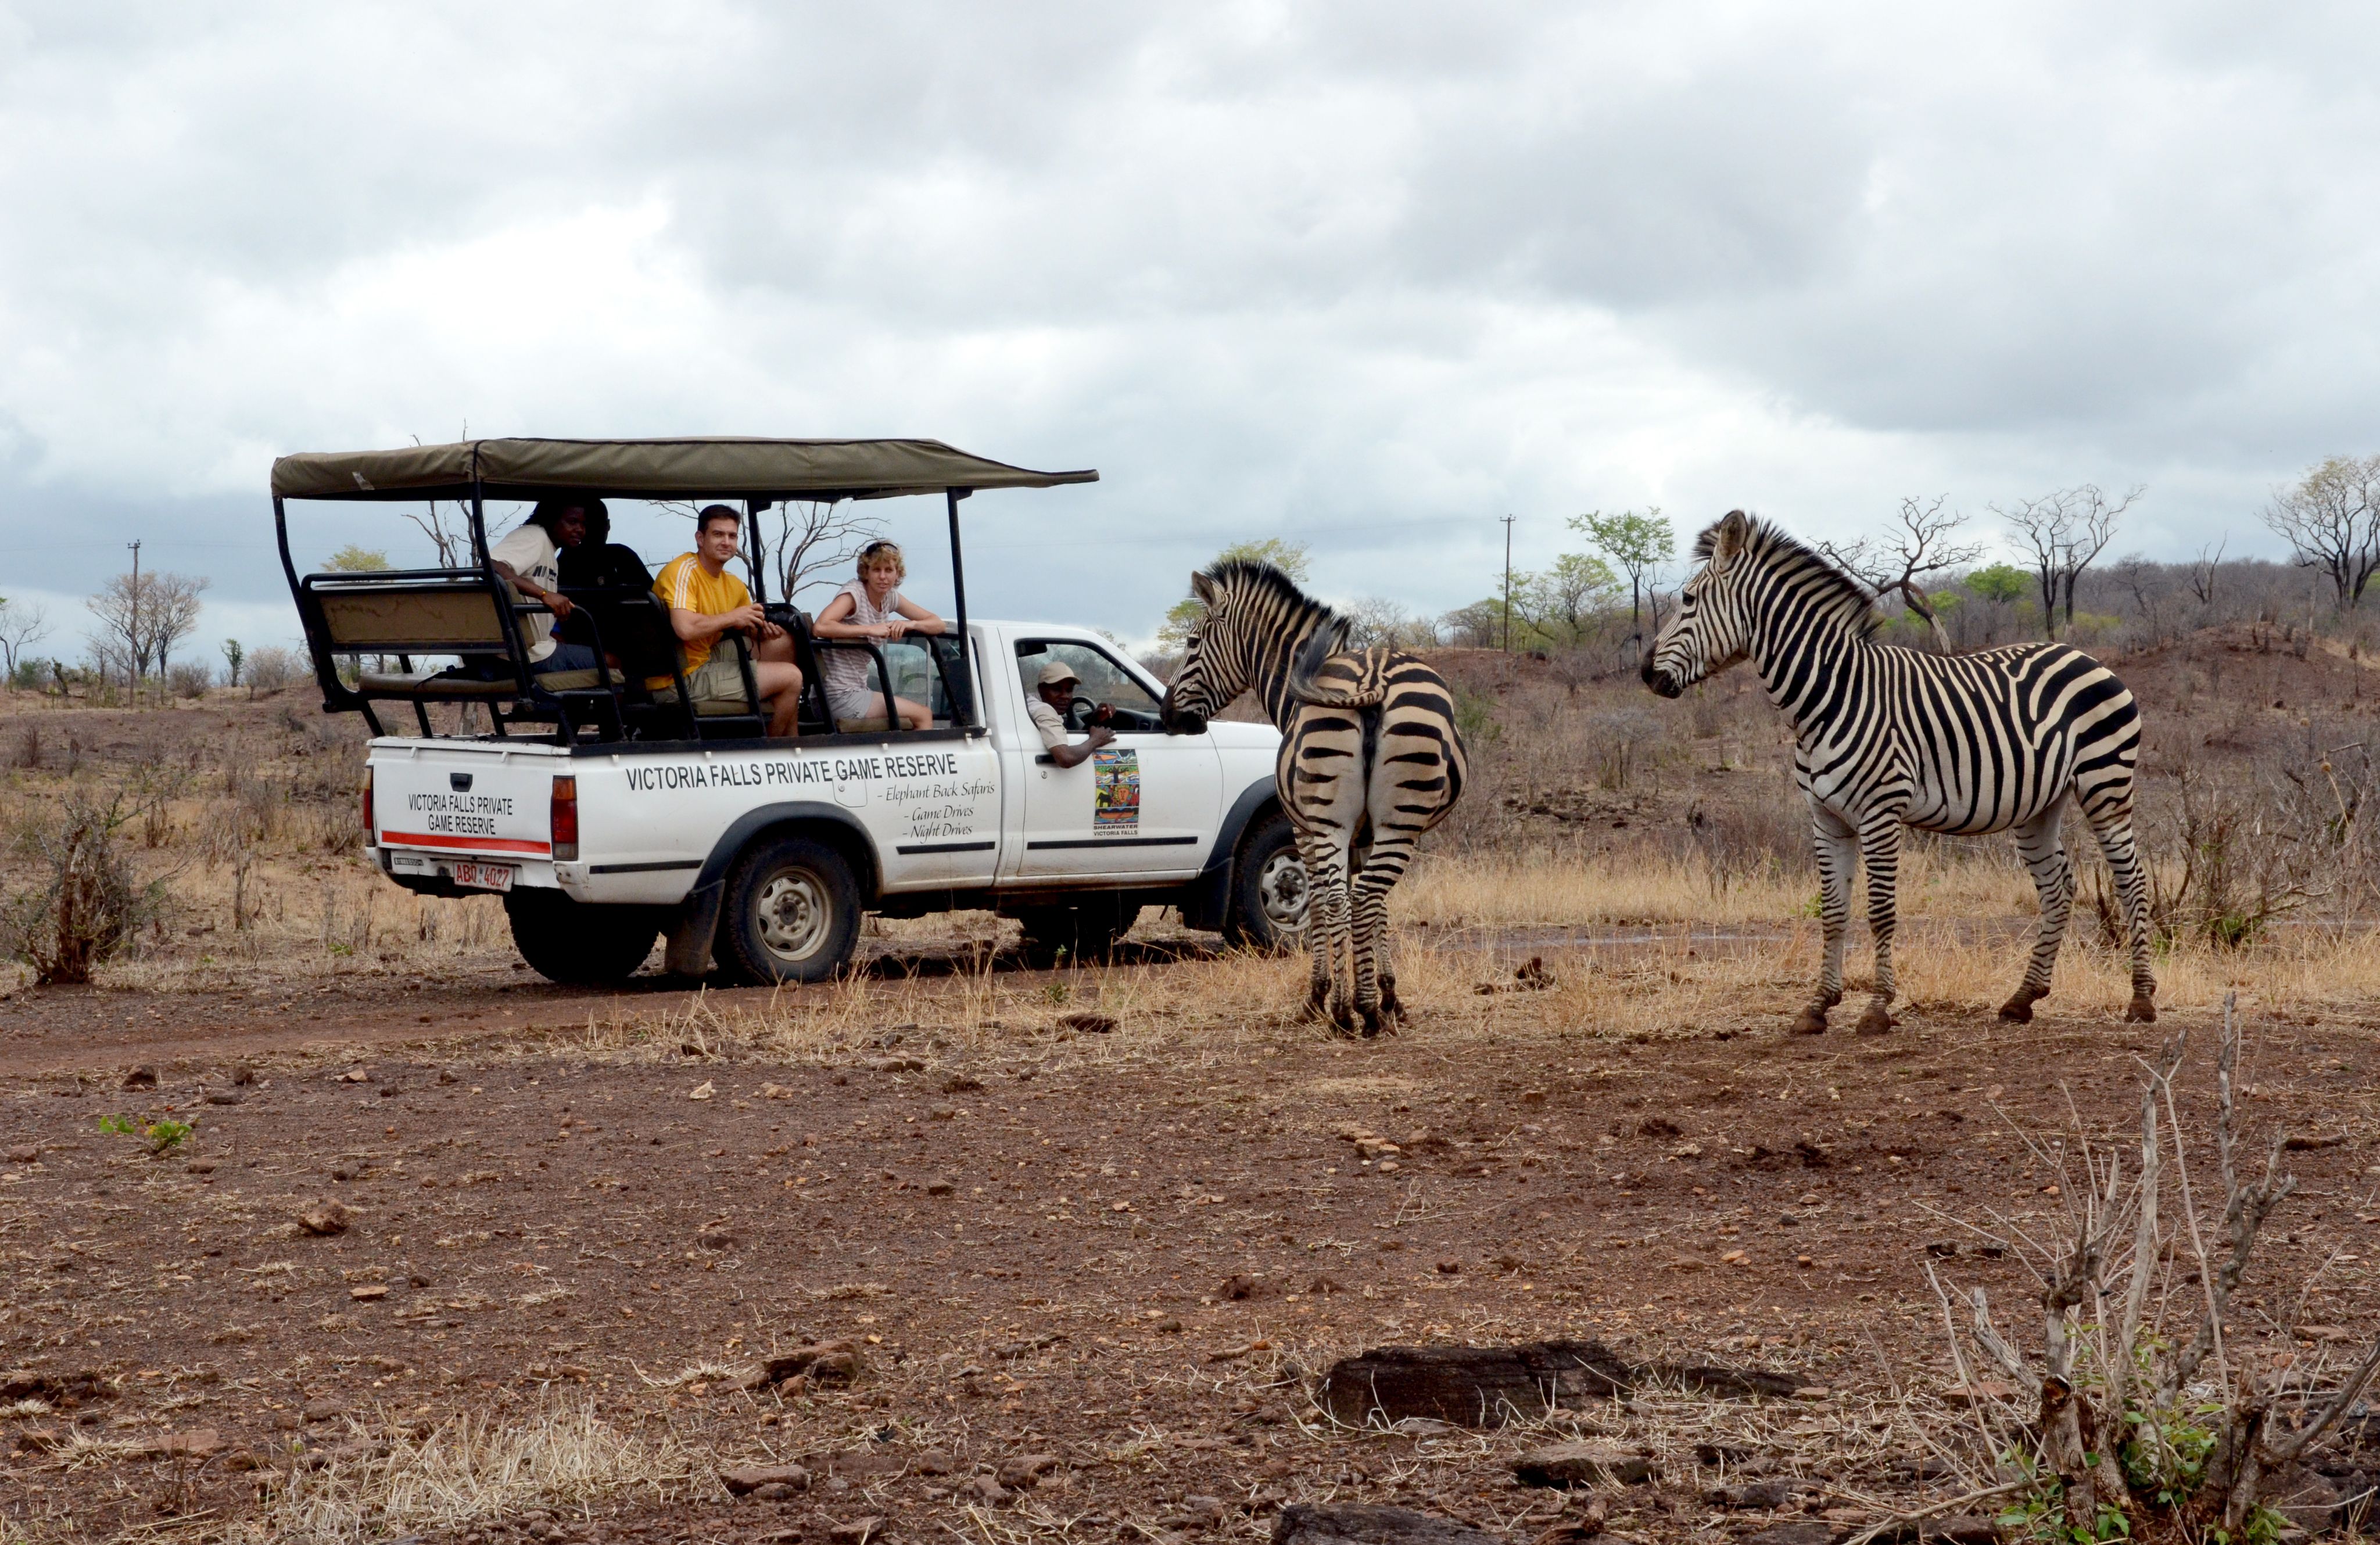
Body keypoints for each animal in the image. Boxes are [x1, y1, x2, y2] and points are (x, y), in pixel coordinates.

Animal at [1156, 559, 1466, 1028]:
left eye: (1192, 643)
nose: (1167, 715)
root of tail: (1374, 672)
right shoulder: (1364, 835)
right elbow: (1380, 909)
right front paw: (1389, 994)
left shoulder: (1303, 829)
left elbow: (1318, 901)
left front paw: (1323, 993)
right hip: (1399, 822)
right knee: (1366, 896)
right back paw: (1368, 1007)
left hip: (1333, 819)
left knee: (1341, 899)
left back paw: (1343, 1009)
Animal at [1637, 511, 2161, 1028]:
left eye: (1687, 599)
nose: (1645, 672)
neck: (1829, 697)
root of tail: (2083, 656)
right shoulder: (1826, 818)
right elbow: (1833, 910)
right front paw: (1818, 1006)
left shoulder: (1880, 812)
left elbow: (1881, 910)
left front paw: (1877, 1007)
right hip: (2040, 803)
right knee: (2058, 887)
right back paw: (2022, 999)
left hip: (2105, 781)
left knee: (2131, 880)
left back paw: (2141, 1000)